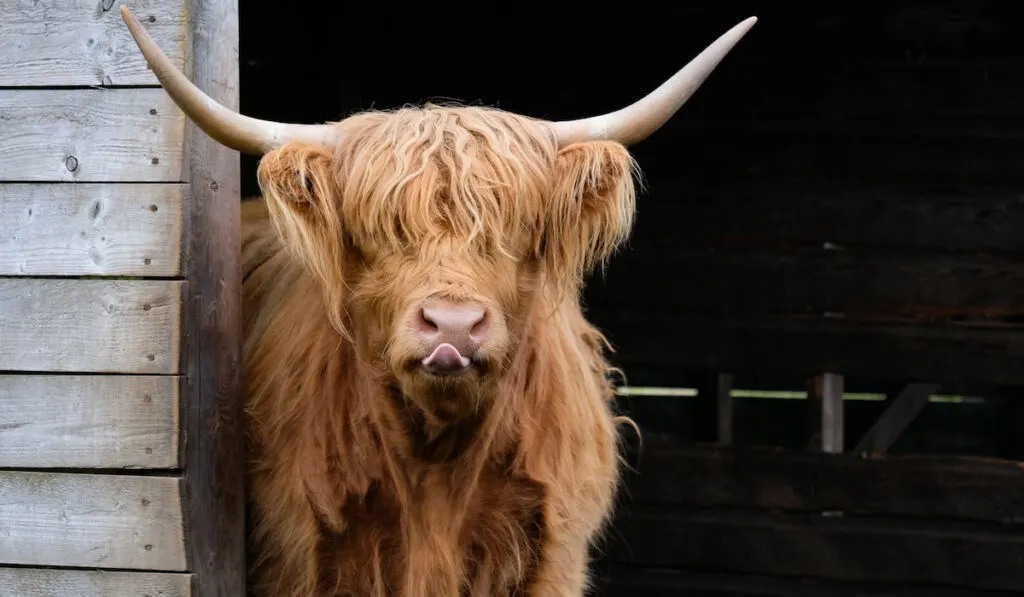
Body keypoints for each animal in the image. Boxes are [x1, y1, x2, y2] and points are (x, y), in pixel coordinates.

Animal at [123, 9, 757, 597]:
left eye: (515, 230)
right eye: (377, 231)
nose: (453, 326)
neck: (436, 473)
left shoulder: (553, 555)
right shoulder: (297, 555)